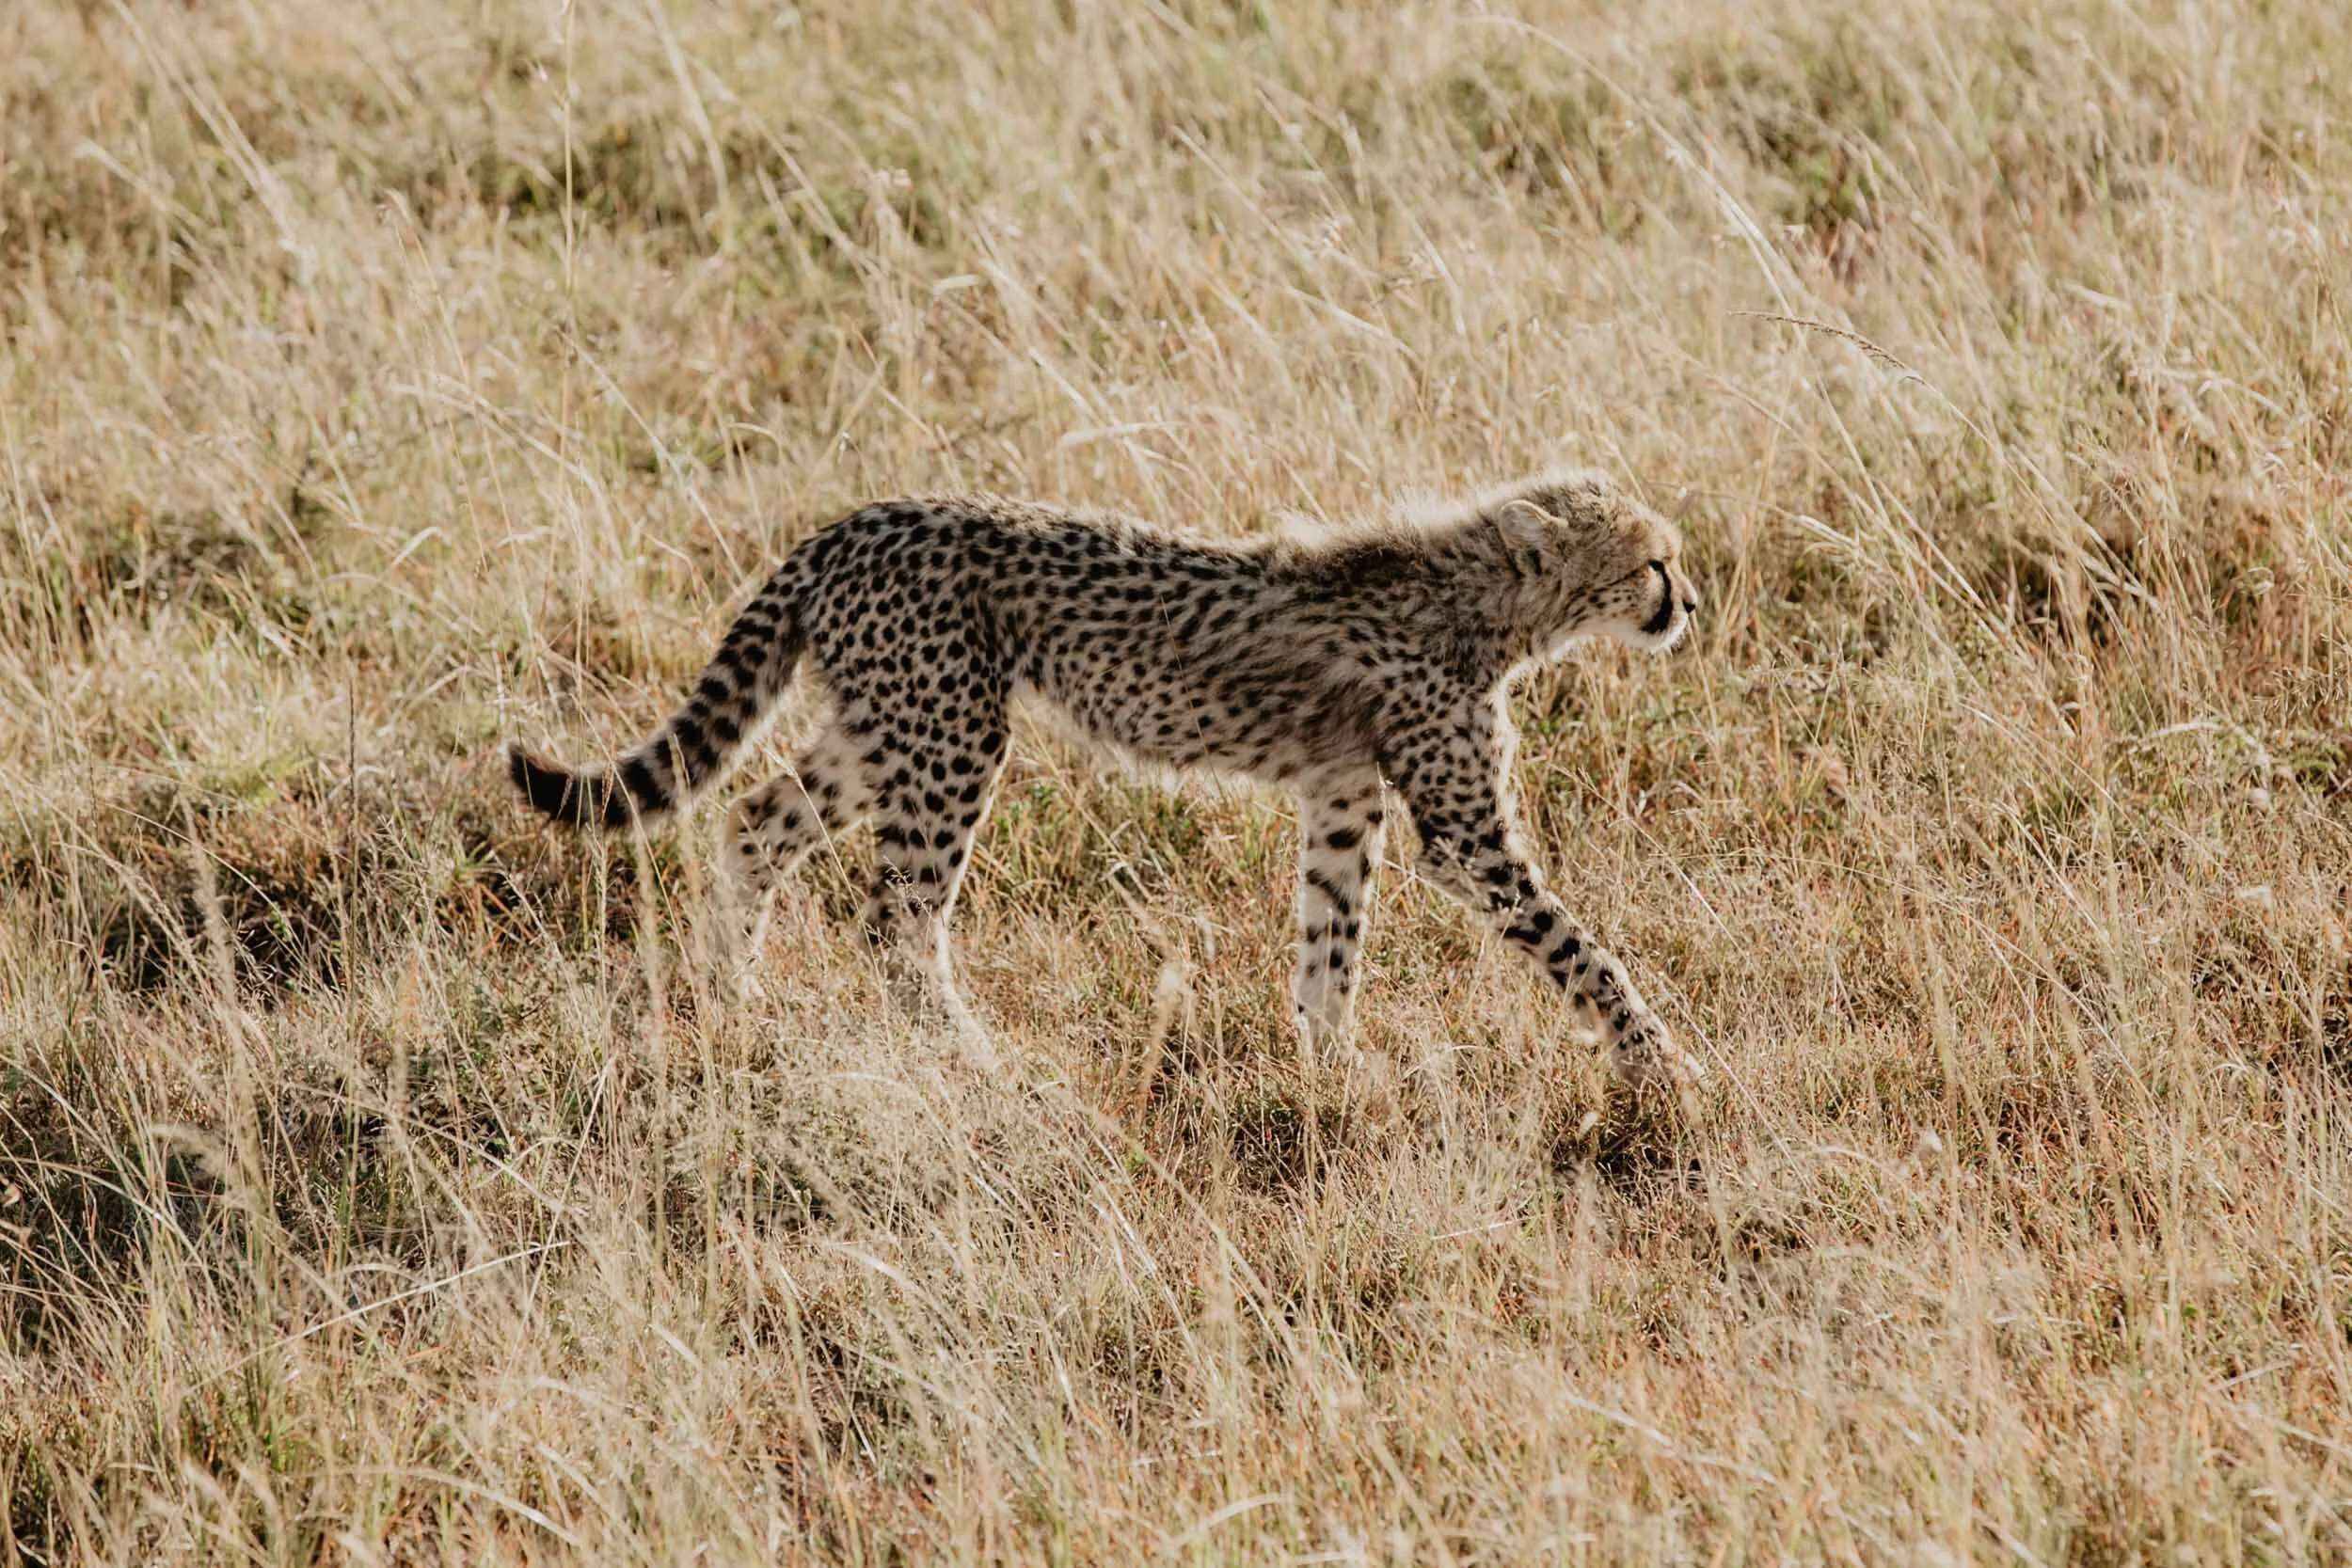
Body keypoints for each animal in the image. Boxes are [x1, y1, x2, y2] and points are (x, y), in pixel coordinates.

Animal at [506, 469, 1705, 1086]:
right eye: (1654, 560)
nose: (1686, 603)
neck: (1483, 596)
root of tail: (853, 522)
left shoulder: (1340, 794)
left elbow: (1331, 935)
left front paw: (1328, 1062)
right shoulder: (1463, 836)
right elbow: (1577, 945)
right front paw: (1659, 1059)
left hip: (882, 724)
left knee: (755, 822)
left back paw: (734, 993)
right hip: (951, 737)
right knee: (896, 915)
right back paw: (969, 1053)